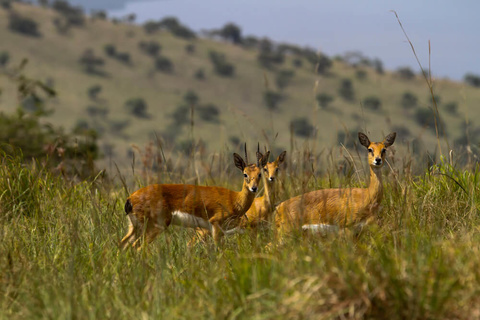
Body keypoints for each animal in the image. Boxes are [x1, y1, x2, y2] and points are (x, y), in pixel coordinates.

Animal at [120, 146, 268, 249]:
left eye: (260, 173)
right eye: (245, 174)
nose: (254, 188)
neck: (234, 199)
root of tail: (130, 199)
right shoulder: (215, 226)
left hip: (135, 228)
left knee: (123, 244)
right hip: (154, 227)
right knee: (138, 248)